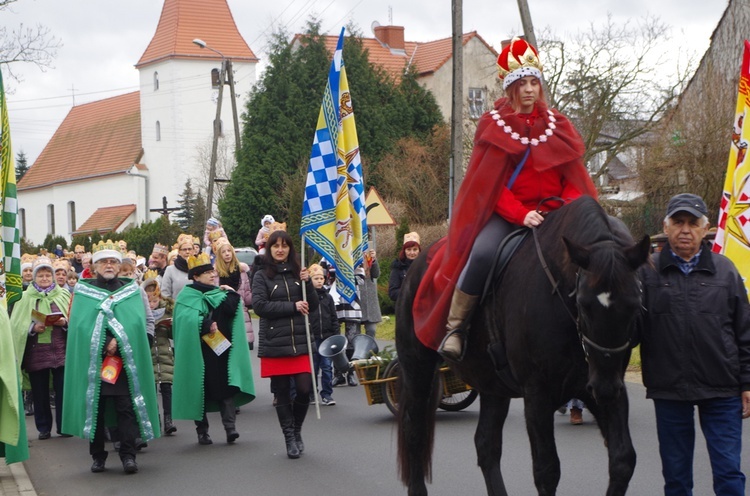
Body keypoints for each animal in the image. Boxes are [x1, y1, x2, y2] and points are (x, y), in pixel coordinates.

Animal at [400, 196, 652, 494]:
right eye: (583, 304)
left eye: (634, 304)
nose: (604, 388)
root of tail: (417, 266)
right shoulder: (538, 394)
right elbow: (547, 470)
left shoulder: (603, 385)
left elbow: (623, 460)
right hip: (417, 369)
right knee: (415, 432)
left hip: (492, 384)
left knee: (486, 444)